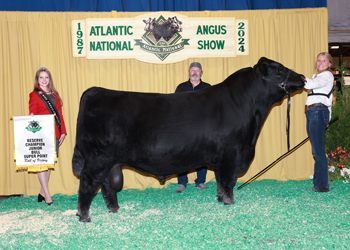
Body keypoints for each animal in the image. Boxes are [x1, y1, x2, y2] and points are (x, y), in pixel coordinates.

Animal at [71, 57, 304, 222]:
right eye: (278, 70)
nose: (302, 76)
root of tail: (96, 91)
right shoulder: (231, 155)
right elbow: (228, 182)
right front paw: (229, 203)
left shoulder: (223, 159)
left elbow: (220, 183)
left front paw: (220, 199)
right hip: (98, 159)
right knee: (87, 183)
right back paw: (85, 217)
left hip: (109, 162)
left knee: (106, 186)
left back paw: (114, 210)